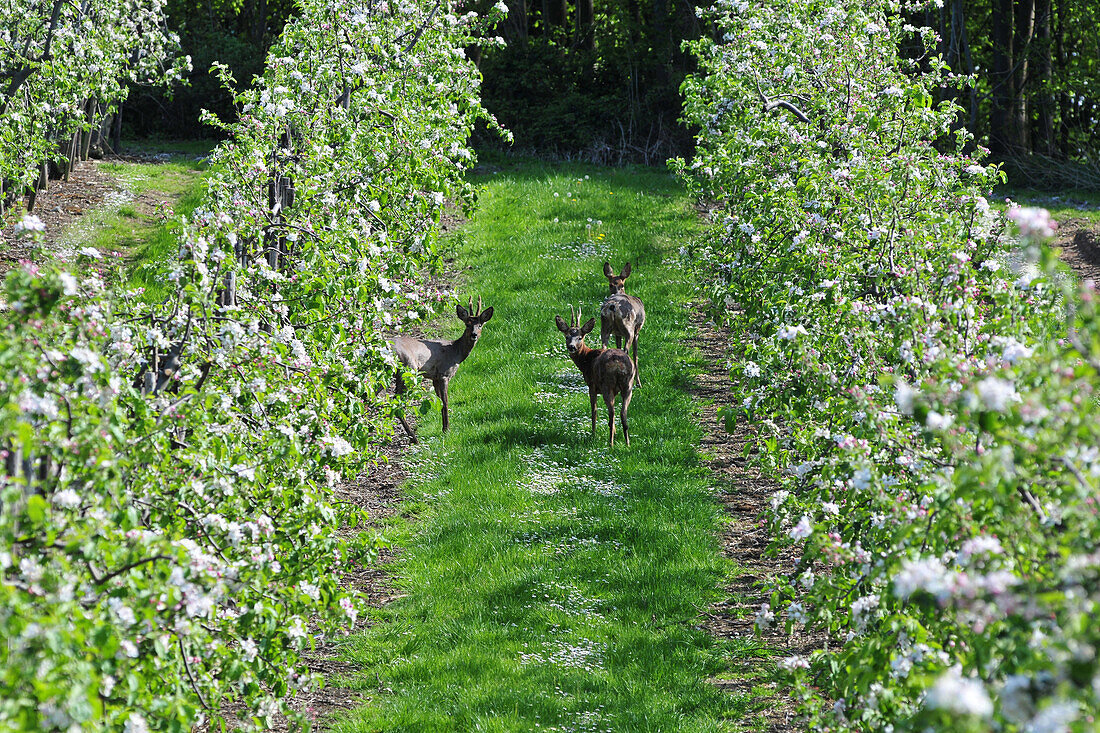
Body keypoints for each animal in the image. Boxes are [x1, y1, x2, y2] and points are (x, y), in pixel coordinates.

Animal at [385, 292, 492, 440]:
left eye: (480, 324)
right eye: (467, 324)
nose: (474, 335)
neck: (456, 352)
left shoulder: (435, 378)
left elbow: (440, 402)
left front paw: (443, 428)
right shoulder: (444, 374)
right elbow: (446, 402)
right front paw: (447, 430)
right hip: (408, 370)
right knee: (396, 402)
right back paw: (413, 437)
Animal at [554, 303, 633, 444]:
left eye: (580, 337)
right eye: (567, 336)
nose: (571, 347)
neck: (586, 360)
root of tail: (619, 365)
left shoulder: (592, 385)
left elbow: (594, 411)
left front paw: (593, 434)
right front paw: (614, 432)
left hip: (607, 385)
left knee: (612, 412)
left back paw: (610, 443)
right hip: (628, 385)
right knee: (623, 413)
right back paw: (627, 443)